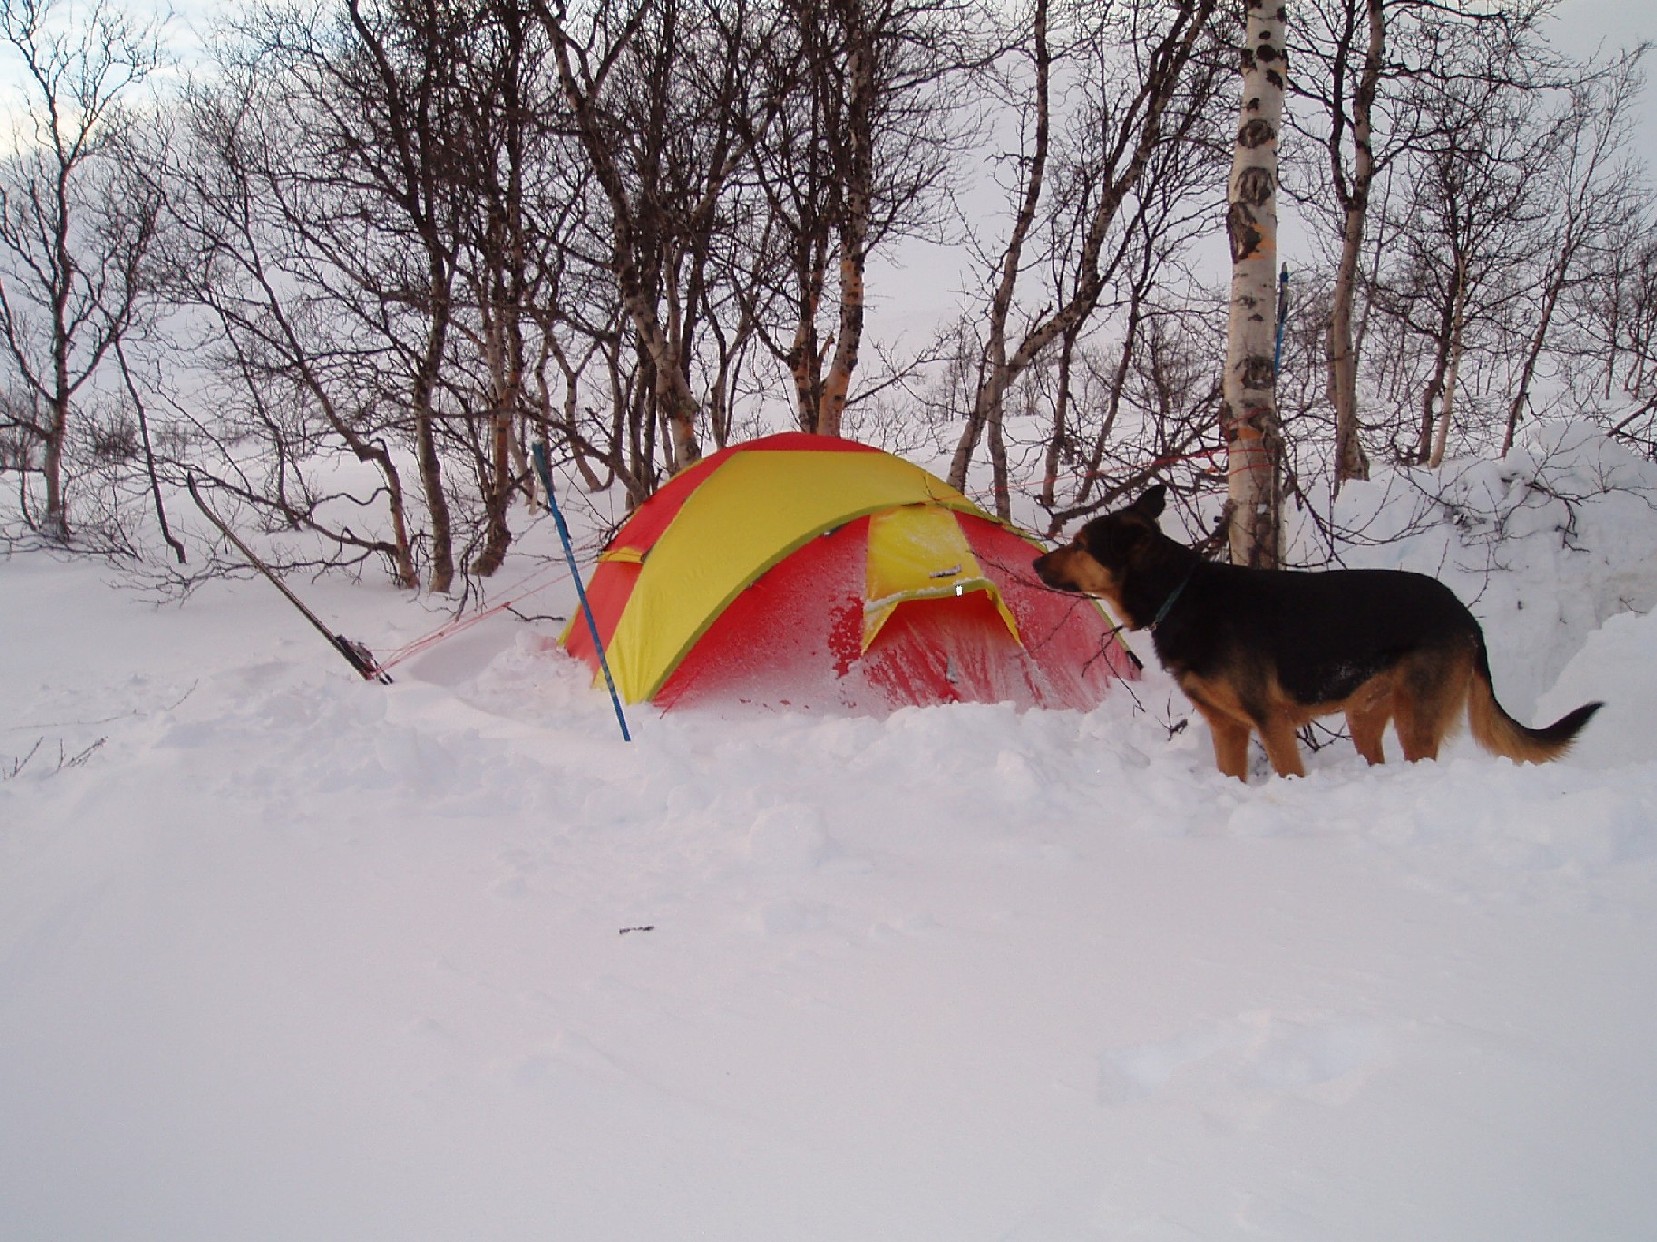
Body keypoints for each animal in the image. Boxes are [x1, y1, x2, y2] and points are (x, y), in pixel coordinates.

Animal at [1033, 485, 1602, 781]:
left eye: (1081, 544)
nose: (1037, 564)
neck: (1179, 593)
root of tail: (1467, 616)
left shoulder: (1270, 721)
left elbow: (1288, 770)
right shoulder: (1228, 728)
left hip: (1415, 719)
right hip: (1364, 715)